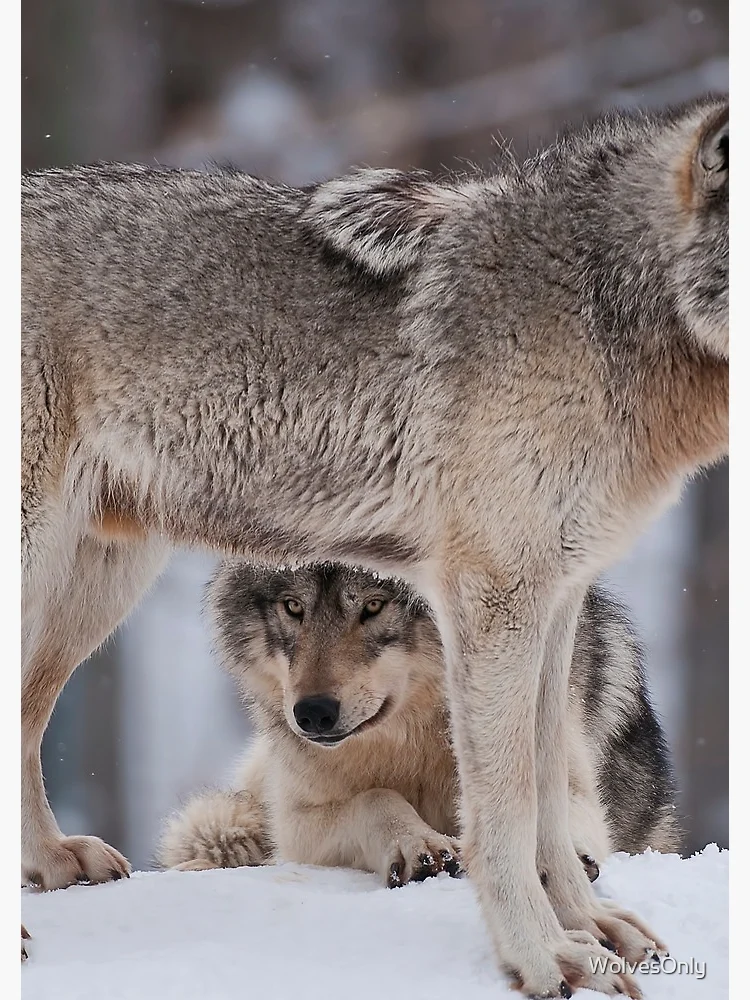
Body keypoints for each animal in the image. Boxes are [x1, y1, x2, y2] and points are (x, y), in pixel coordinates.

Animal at [158, 563, 680, 893]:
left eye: (374, 605)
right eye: (293, 607)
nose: (313, 713)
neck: (414, 738)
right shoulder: (297, 823)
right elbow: (375, 798)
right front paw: (419, 844)